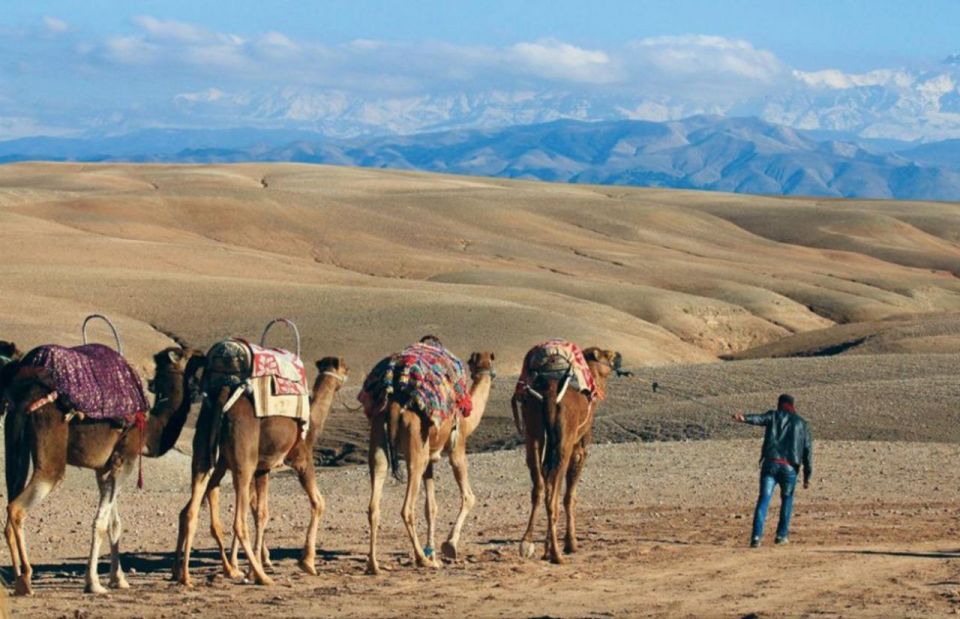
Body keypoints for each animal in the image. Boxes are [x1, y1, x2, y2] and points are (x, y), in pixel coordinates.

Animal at [0, 348, 204, 596]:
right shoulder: (125, 460)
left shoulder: (104, 468)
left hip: (16, 446)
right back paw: (25, 578)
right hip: (51, 458)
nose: (201, 353)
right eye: (186, 355)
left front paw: (119, 579)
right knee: (17, 508)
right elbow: (101, 523)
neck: (150, 428)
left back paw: (17, 579)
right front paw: (94, 583)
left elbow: (115, 524)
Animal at [175, 356, 348, 588]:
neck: (312, 422)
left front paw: (254, 565)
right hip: (242, 463)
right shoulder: (302, 459)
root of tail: (223, 397)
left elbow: (261, 513)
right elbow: (318, 502)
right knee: (237, 522)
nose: (348, 375)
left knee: (190, 510)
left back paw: (184, 575)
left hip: (205, 456)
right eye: (344, 368)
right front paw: (307, 563)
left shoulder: (263, 468)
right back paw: (261, 577)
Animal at [362, 352, 492, 572]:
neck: (468, 419)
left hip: (379, 434)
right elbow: (469, 497)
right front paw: (449, 546)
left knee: (374, 501)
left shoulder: (430, 461)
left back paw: (374, 565)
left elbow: (431, 507)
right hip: (416, 446)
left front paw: (434, 553)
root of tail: (394, 404)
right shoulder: (457, 449)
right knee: (407, 507)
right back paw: (421, 559)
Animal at [516, 346, 624, 564]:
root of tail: (550, 396)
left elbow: (549, 485)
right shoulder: (579, 446)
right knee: (553, 495)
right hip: (563, 444)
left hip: (533, 433)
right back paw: (557, 555)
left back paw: (527, 543)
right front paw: (570, 543)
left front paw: (546, 547)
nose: (619, 356)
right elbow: (570, 496)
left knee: (540, 487)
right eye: (607, 355)